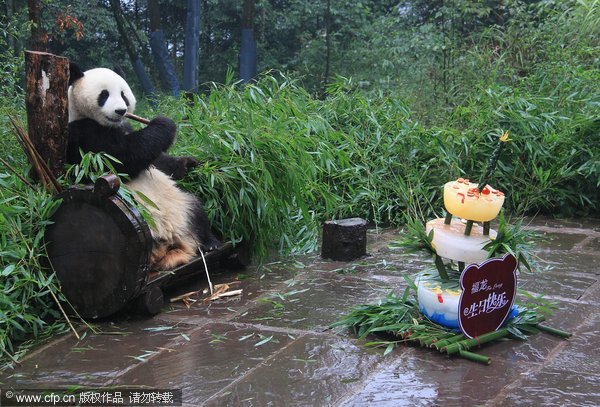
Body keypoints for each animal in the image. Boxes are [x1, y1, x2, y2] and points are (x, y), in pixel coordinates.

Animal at [67, 63, 220, 270]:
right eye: (104, 95)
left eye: (123, 94)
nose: (121, 111)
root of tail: (173, 242)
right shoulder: (84, 140)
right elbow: (122, 158)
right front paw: (165, 123)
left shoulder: (124, 127)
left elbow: (158, 161)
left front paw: (189, 163)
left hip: (181, 204)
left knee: (197, 210)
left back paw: (210, 242)